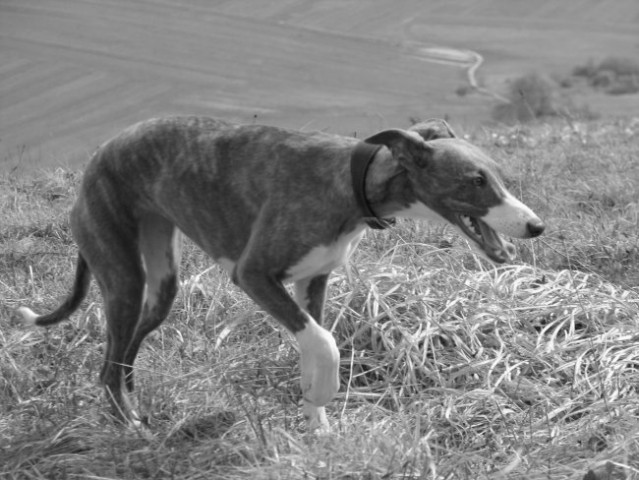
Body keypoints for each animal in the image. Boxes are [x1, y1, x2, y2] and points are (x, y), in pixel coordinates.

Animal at [17, 115, 544, 432]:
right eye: (475, 181)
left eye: (497, 176)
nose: (536, 227)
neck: (351, 181)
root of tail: (96, 161)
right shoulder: (254, 276)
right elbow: (326, 344)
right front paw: (324, 396)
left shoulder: (312, 283)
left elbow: (314, 346)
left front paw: (319, 428)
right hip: (124, 279)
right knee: (108, 368)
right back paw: (132, 429)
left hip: (160, 287)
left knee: (124, 361)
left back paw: (135, 411)